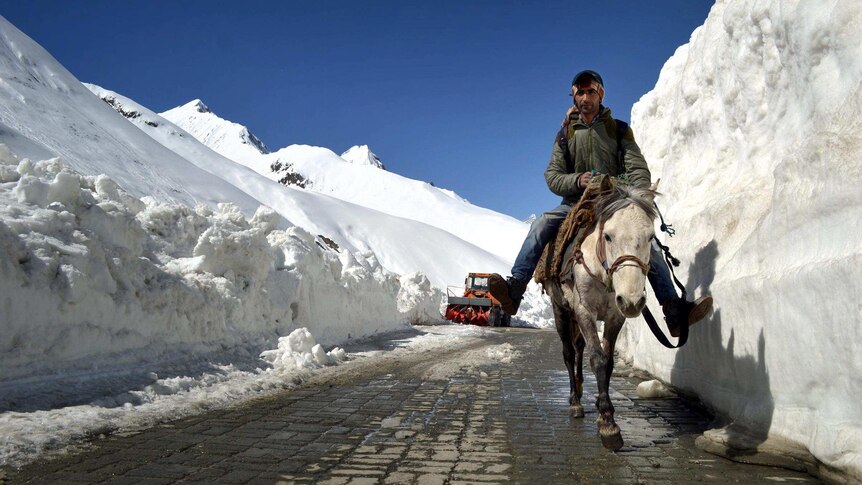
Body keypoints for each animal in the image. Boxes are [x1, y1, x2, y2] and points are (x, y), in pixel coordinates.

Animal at [544, 182, 660, 450]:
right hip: (561, 310)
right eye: (608, 236)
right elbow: (597, 358)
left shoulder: (615, 317)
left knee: (577, 348)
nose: (632, 301)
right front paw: (608, 424)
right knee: (568, 353)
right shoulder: (585, 311)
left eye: (650, 236)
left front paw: (601, 408)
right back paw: (575, 401)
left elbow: (608, 362)